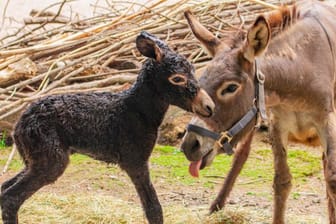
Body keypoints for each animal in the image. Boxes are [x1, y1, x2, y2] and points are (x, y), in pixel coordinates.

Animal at [0, 32, 214, 224]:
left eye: (193, 70)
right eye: (177, 78)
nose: (209, 107)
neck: (136, 109)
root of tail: (20, 124)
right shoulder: (135, 161)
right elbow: (153, 209)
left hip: (36, 159)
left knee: (4, 189)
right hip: (51, 160)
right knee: (11, 198)